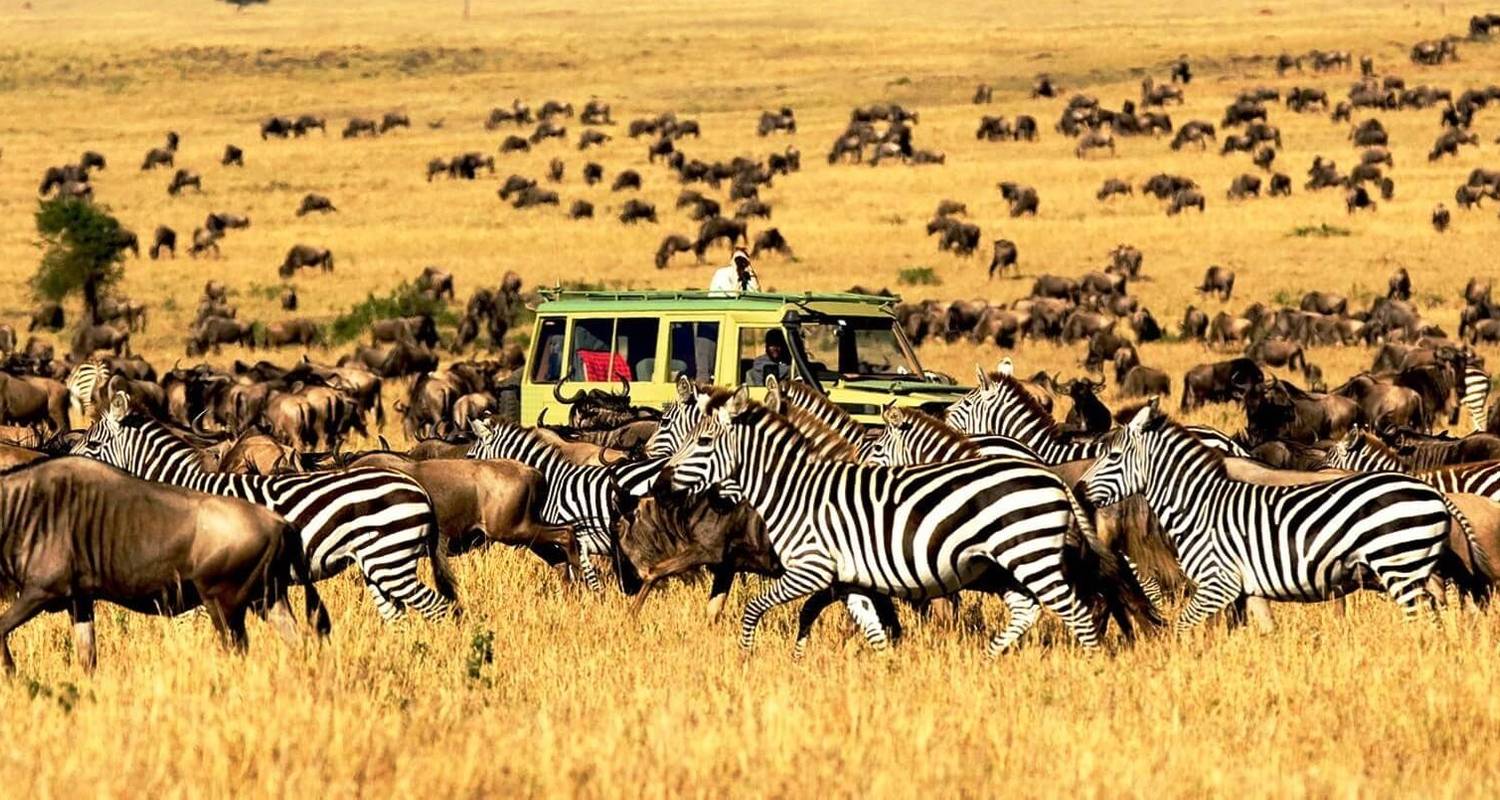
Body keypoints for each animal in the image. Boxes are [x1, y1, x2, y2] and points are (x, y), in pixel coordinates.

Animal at [73, 390, 456, 621]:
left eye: (92, 444)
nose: (65, 465)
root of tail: (417, 487)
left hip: (391, 558)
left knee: (441, 609)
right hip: (377, 564)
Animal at [663, 384, 1110, 654]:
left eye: (703, 440)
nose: (664, 482)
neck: (795, 490)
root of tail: (1050, 474)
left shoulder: (811, 569)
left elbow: (755, 608)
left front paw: (746, 656)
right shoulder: (849, 579)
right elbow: (873, 628)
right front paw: (886, 668)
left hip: (1029, 556)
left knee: (1077, 611)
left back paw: (1090, 666)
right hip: (1006, 564)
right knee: (1029, 609)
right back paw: (988, 659)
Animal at [1074, 402, 1470, 627]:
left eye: (1112, 456)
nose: (1076, 489)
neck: (1199, 505)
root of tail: (1432, 492)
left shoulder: (1217, 582)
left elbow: (1185, 626)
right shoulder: (1248, 587)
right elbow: (1264, 630)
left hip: (1399, 566)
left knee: (1422, 618)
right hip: (1418, 568)